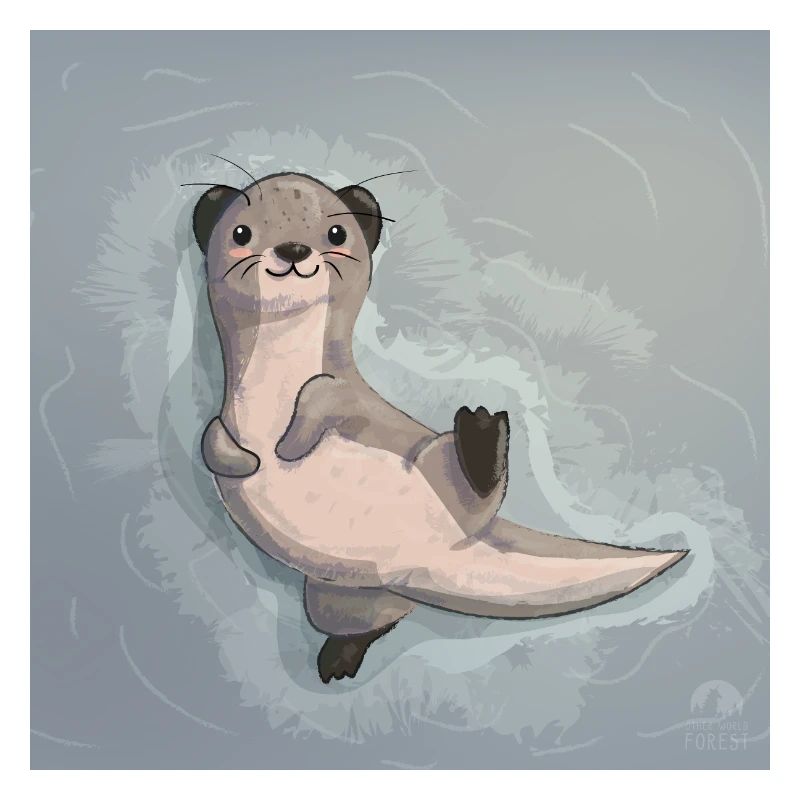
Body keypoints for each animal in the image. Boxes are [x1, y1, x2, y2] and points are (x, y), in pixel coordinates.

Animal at [188, 167, 688, 684]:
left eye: (336, 233)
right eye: (241, 232)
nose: (293, 250)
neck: (278, 376)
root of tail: (425, 566)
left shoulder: (356, 400)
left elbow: (326, 396)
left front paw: (289, 443)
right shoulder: (224, 412)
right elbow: (210, 435)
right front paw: (243, 458)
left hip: (431, 463)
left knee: (475, 491)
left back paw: (482, 432)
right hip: (344, 590)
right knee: (366, 620)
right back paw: (338, 660)